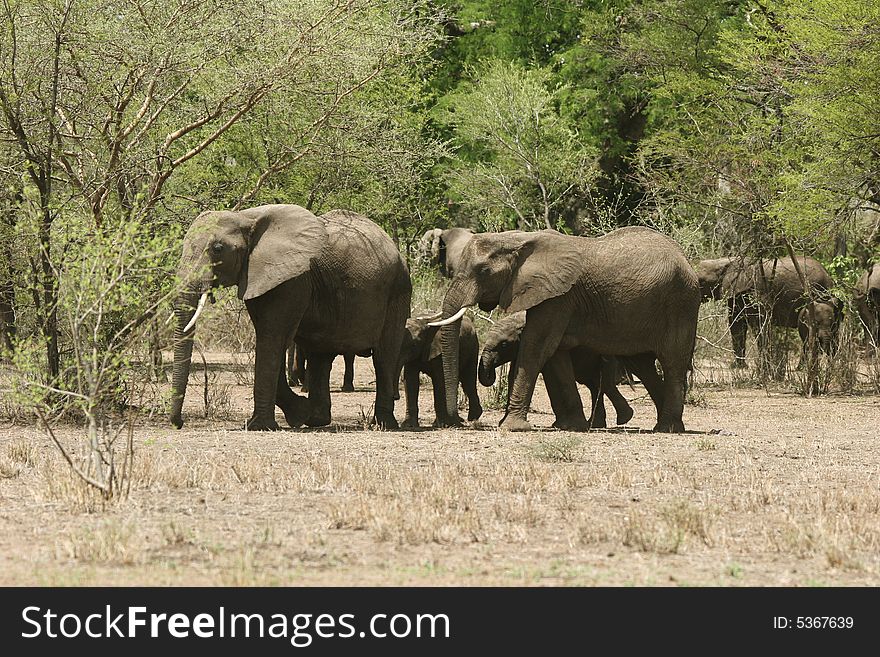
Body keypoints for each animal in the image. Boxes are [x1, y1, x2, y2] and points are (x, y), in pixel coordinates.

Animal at [170, 205, 410, 430]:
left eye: (218, 249)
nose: (179, 423)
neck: (246, 217)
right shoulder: (260, 276)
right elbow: (270, 338)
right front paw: (299, 413)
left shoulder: (292, 280)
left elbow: (273, 339)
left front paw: (261, 426)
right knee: (320, 356)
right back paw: (316, 419)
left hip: (398, 290)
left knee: (384, 356)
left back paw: (384, 424)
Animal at [478, 310, 628, 428]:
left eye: (504, 345)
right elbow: (513, 375)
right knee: (594, 384)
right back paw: (597, 424)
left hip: (605, 356)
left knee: (603, 383)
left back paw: (622, 419)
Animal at [696, 256, 840, 368]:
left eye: (701, 282)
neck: (725, 262)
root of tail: (829, 276)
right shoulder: (737, 292)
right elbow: (737, 324)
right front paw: (739, 367)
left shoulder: (754, 290)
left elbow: (758, 324)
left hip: (821, 292)